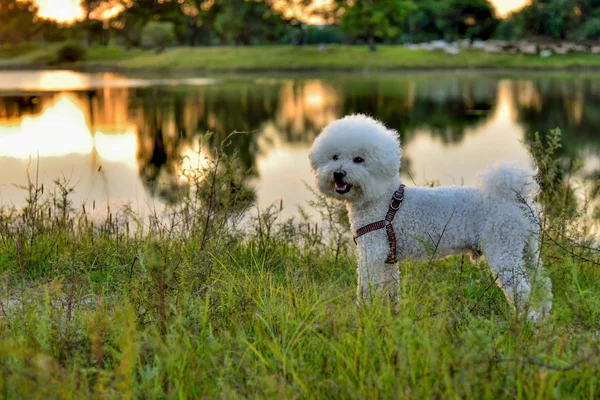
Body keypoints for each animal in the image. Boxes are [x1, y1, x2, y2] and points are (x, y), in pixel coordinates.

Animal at [312, 114, 552, 320]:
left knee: (524, 290)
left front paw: (365, 315)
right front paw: (390, 316)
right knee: (543, 286)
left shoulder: (372, 252)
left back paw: (528, 322)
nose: (338, 173)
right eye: (334, 157)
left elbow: (366, 288)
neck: (380, 198)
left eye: (359, 159)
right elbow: (390, 290)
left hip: (504, 248)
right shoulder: (387, 259)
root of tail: (516, 198)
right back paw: (542, 318)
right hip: (529, 250)